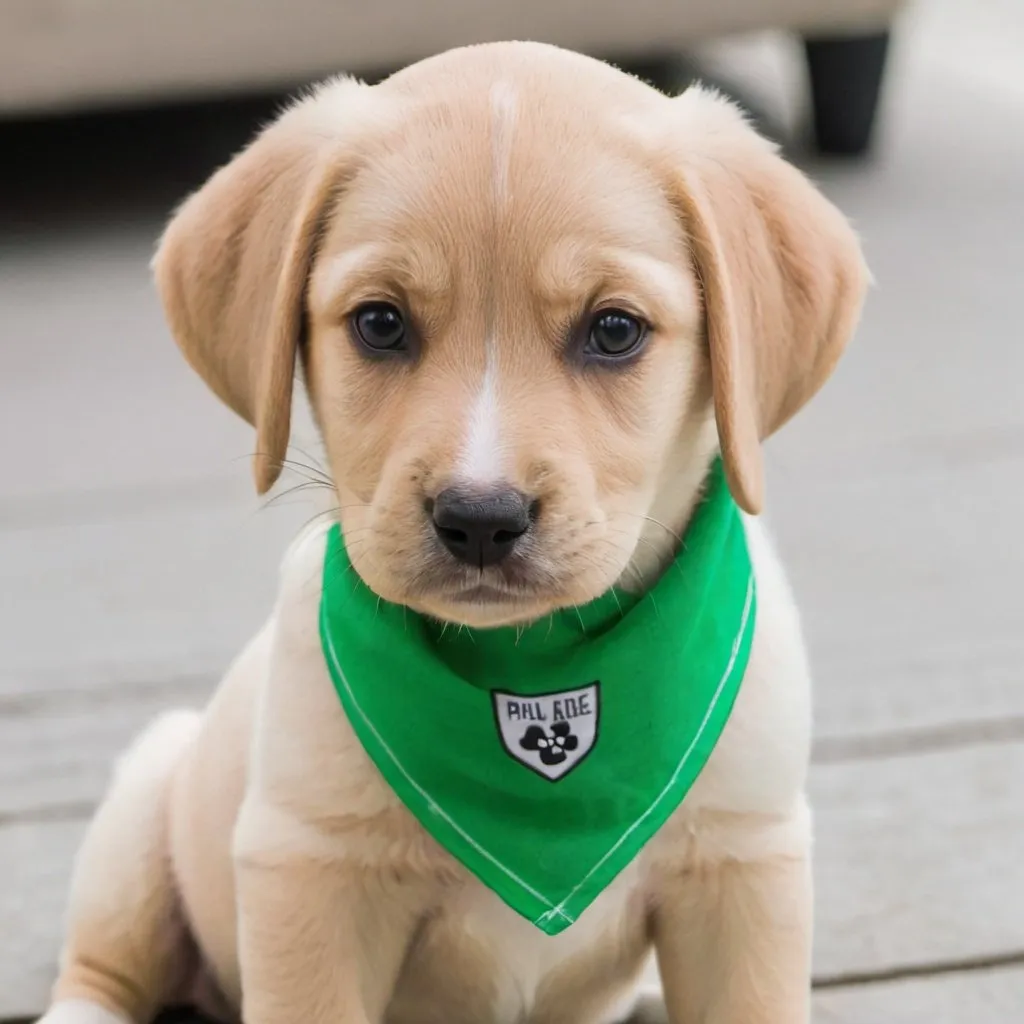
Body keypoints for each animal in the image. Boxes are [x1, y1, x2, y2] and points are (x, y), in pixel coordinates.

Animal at [41, 41, 872, 1024]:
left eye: (615, 330)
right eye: (380, 323)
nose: (480, 519)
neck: (531, 671)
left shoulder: (743, 872)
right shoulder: (307, 872)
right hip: (144, 813)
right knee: (102, 968)